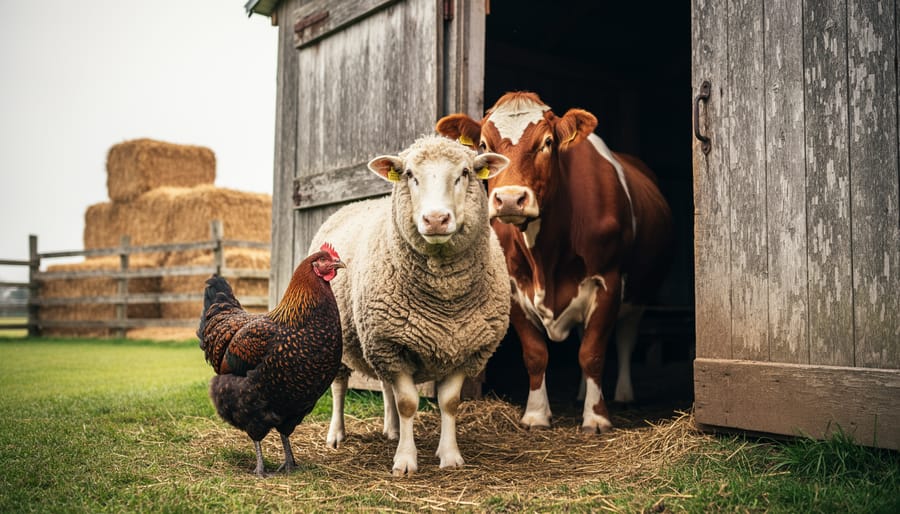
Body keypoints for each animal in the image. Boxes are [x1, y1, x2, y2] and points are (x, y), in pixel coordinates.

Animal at [308, 135, 511, 476]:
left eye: (465, 173)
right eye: (410, 175)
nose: (436, 219)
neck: (446, 299)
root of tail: (352, 205)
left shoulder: (466, 348)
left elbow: (448, 403)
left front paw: (450, 456)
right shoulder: (390, 344)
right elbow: (408, 404)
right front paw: (405, 460)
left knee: (385, 387)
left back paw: (391, 430)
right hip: (341, 340)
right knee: (339, 387)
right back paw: (336, 434)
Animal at [436, 91, 672, 433]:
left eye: (547, 142)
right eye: (482, 144)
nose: (510, 199)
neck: (546, 261)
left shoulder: (608, 281)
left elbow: (593, 353)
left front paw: (596, 417)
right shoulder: (513, 286)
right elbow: (536, 354)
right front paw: (536, 414)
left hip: (641, 291)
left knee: (626, 337)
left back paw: (623, 394)